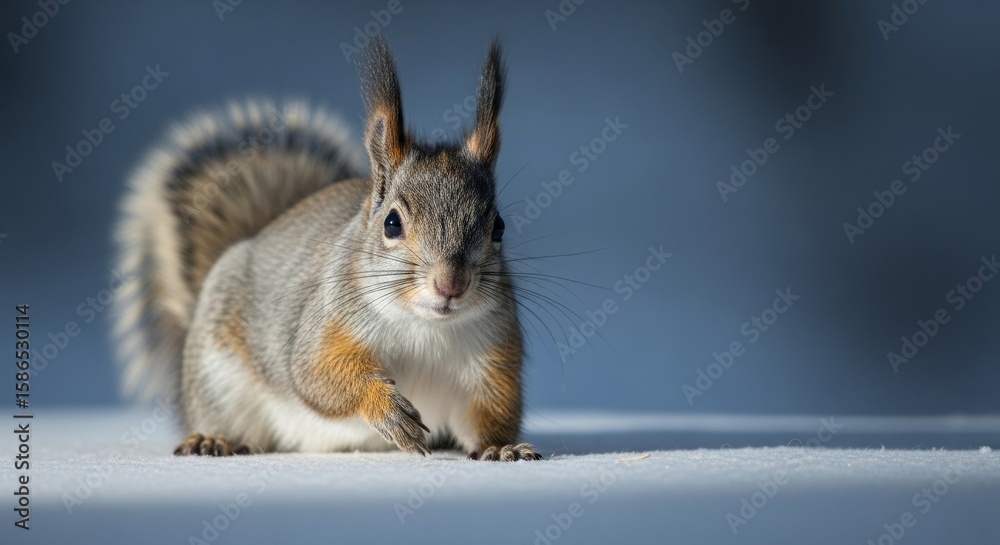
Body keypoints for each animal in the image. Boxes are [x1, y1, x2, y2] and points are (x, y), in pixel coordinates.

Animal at [111, 38, 541, 462]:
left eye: (498, 227)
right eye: (392, 223)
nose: (451, 285)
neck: (426, 326)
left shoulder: (493, 356)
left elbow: (489, 410)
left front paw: (501, 447)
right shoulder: (326, 324)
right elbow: (318, 376)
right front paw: (386, 409)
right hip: (217, 377)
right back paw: (213, 439)